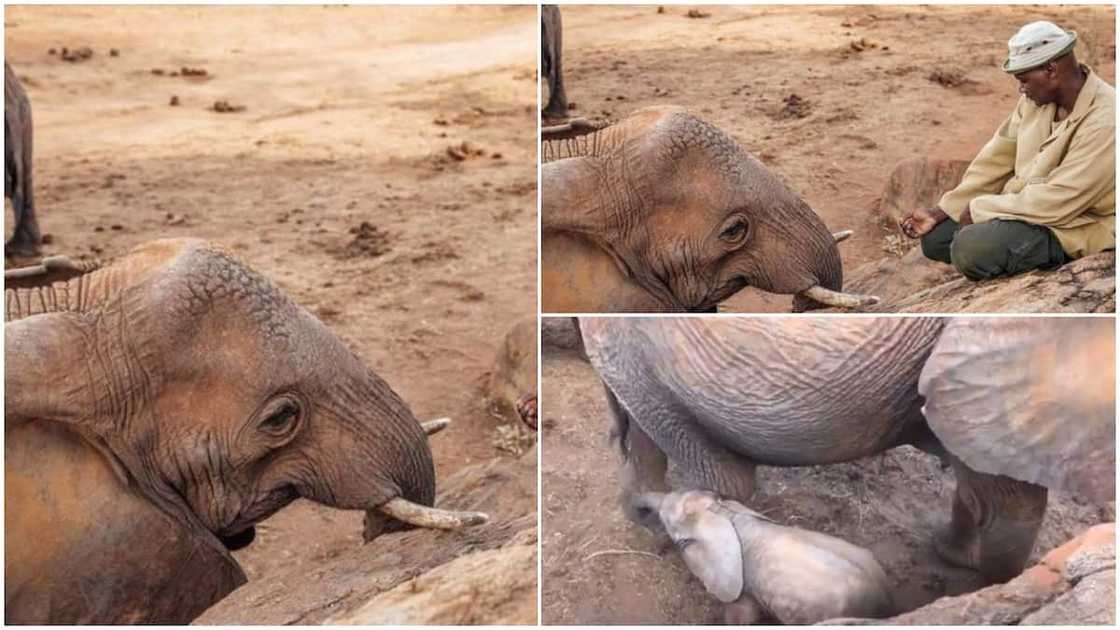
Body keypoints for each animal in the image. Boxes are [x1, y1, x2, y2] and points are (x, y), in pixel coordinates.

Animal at [579, 317, 1114, 584]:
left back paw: (642, 514)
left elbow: (984, 490)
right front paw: (985, 582)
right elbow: (1013, 507)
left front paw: (951, 556)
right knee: (723, 480)